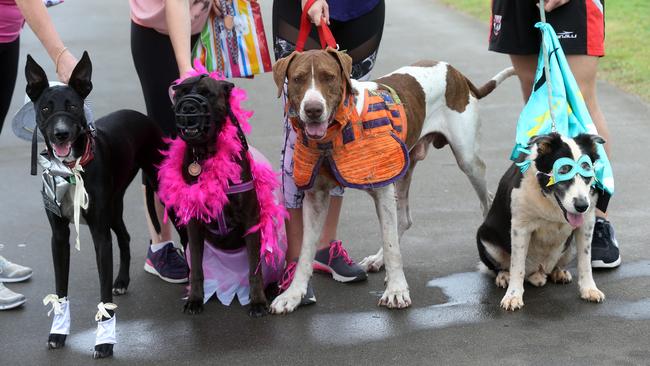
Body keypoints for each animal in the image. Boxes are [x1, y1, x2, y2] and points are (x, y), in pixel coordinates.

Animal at [26, 51, 165, 358]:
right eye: (45, 108)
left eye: (73, 106)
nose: (61, 134)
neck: (71, 169)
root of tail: (140, 115)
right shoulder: (59, 236)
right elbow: (61, 289)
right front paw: (58, 332)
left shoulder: (99, 234)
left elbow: (103, 297)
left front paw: (104, 341)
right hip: (114, 205)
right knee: (124, 237)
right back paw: (122, 281)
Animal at [268, 47, 512, 314]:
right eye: (298, 78)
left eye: (329, 77)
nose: (313, 109)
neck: (338, 130)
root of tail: (455, 71)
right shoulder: (316, 197)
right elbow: (305, 251)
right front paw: (293, 294)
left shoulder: (382, 189)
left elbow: (391, 243)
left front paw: (396, 291)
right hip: (405, 165)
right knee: (403, 219)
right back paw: (378, 259)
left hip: (468, 161)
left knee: (485, 201)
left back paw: (499, 267)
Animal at [474, 133, 604, 310]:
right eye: (563, 170)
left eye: (587, 171)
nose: (582, 206)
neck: (549, 198)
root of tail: (540, 269)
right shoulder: (520, 228)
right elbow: (517, 266)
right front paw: (513, 295)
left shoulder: (586, 224)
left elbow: (585, 262)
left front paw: (589, 289)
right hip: (485, 238)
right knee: (501, 267)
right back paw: (505, 276)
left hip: (569, 247)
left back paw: (557, 272)